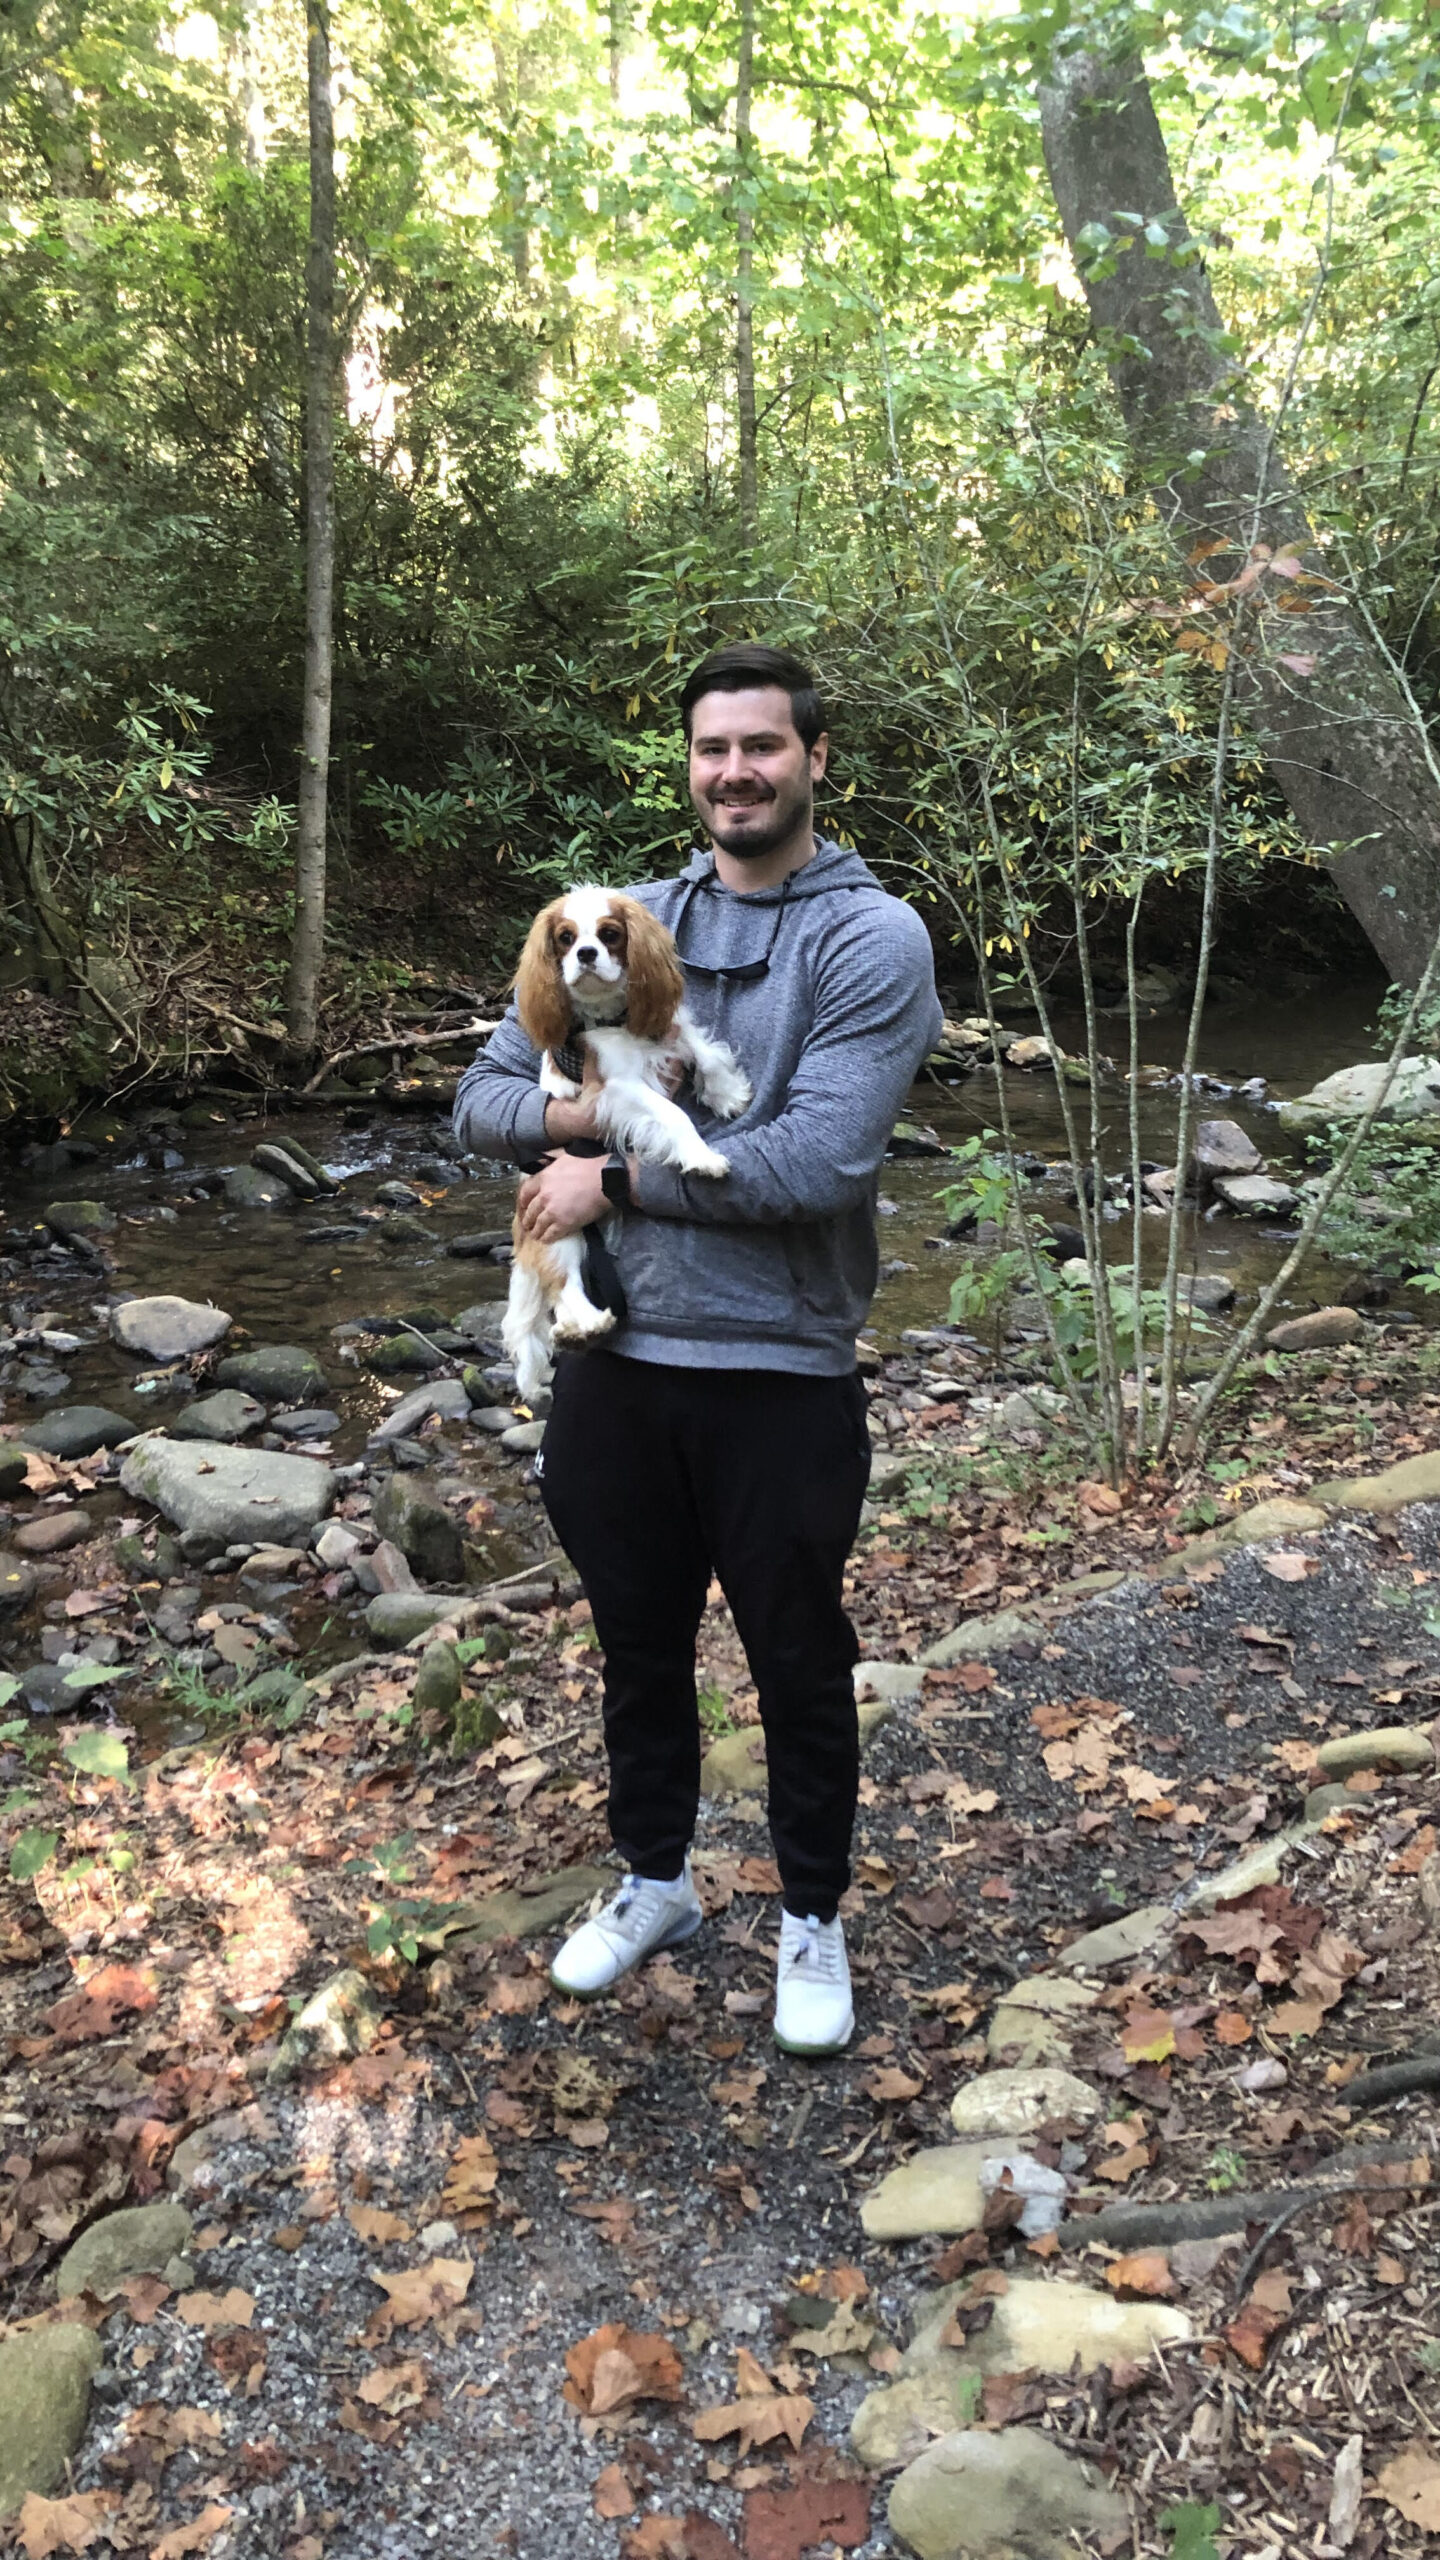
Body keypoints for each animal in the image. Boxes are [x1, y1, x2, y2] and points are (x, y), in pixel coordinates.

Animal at [502, 880, 753, 1402]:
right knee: (564, 1285)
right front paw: (702, 1157)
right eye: (565, 938)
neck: (609, 1018)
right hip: (557, 1226)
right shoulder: (615, 1088)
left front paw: (727, 1094)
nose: (586, 953)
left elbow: (705, 1051)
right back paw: (586, 1323)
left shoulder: (670, 1030)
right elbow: (674, 1115)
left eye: (610, 934)